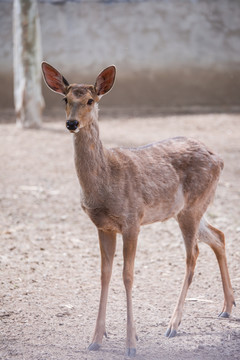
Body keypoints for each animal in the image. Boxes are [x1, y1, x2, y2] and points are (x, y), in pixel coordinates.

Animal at [41, 62, 234, 358]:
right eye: (65, 99)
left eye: (91, 100)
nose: (71, 123)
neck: (105, 181)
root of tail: (220, 159)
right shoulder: (103, 225)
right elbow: (104, 274)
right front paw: (96, 339)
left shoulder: (132, 220)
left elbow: (128, 276)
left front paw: (131, 343)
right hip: (189, 208)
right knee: (218, 235)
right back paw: (226, 308)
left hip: (192, 207)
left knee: (193, 255)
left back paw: (173, 324)